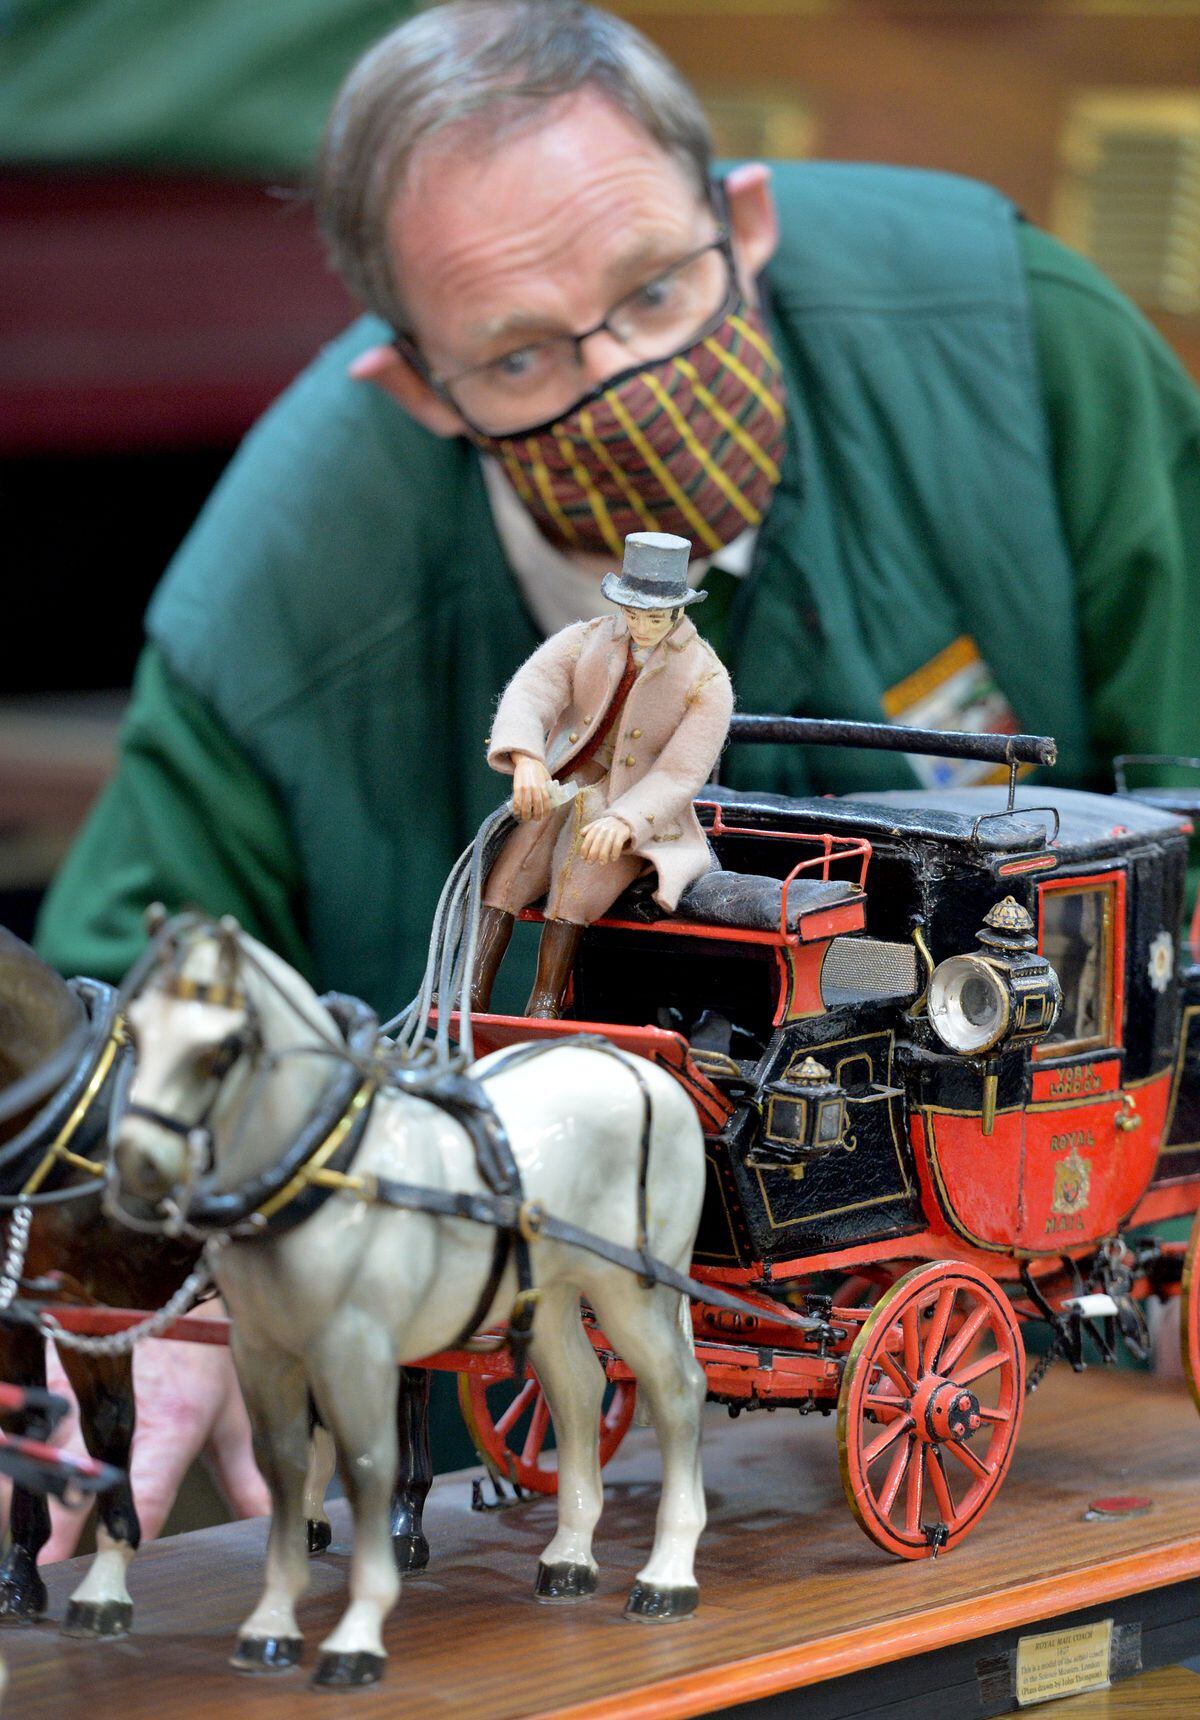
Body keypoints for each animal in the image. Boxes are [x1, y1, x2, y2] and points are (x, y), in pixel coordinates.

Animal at [110, 921, 711, 1685]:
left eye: (219, 1049)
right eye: (136, 1031)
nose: (137, 1164)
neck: (331, 1166)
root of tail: (646, 1075)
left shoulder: (360, 1351)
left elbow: (370, 1467)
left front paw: (358, 1632)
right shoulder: (263, 1351)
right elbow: (283, 1468)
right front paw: (271, 1624)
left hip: (633, 1291)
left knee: (678, 1393)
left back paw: (667, 1577)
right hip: (550, 1293)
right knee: (579, 1389)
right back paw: (569, 1558)